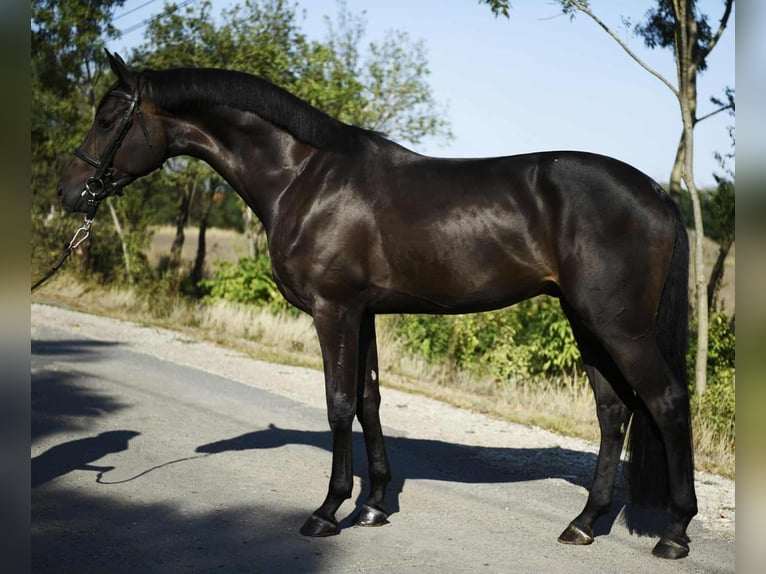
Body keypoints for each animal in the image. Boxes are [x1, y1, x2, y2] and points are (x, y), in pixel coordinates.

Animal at [56, 52, 697, 559]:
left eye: (108, 118)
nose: (68, 193)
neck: (304, 177)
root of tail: (655, 193)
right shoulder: (362, 314)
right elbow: (369, 401)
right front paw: (373, 505)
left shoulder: (333, 310)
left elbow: (339, 404)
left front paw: (327, 510)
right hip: (586, 322)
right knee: (613, 412)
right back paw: (584, 523)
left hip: (619, 327)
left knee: (665, 402)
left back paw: (674, 533)